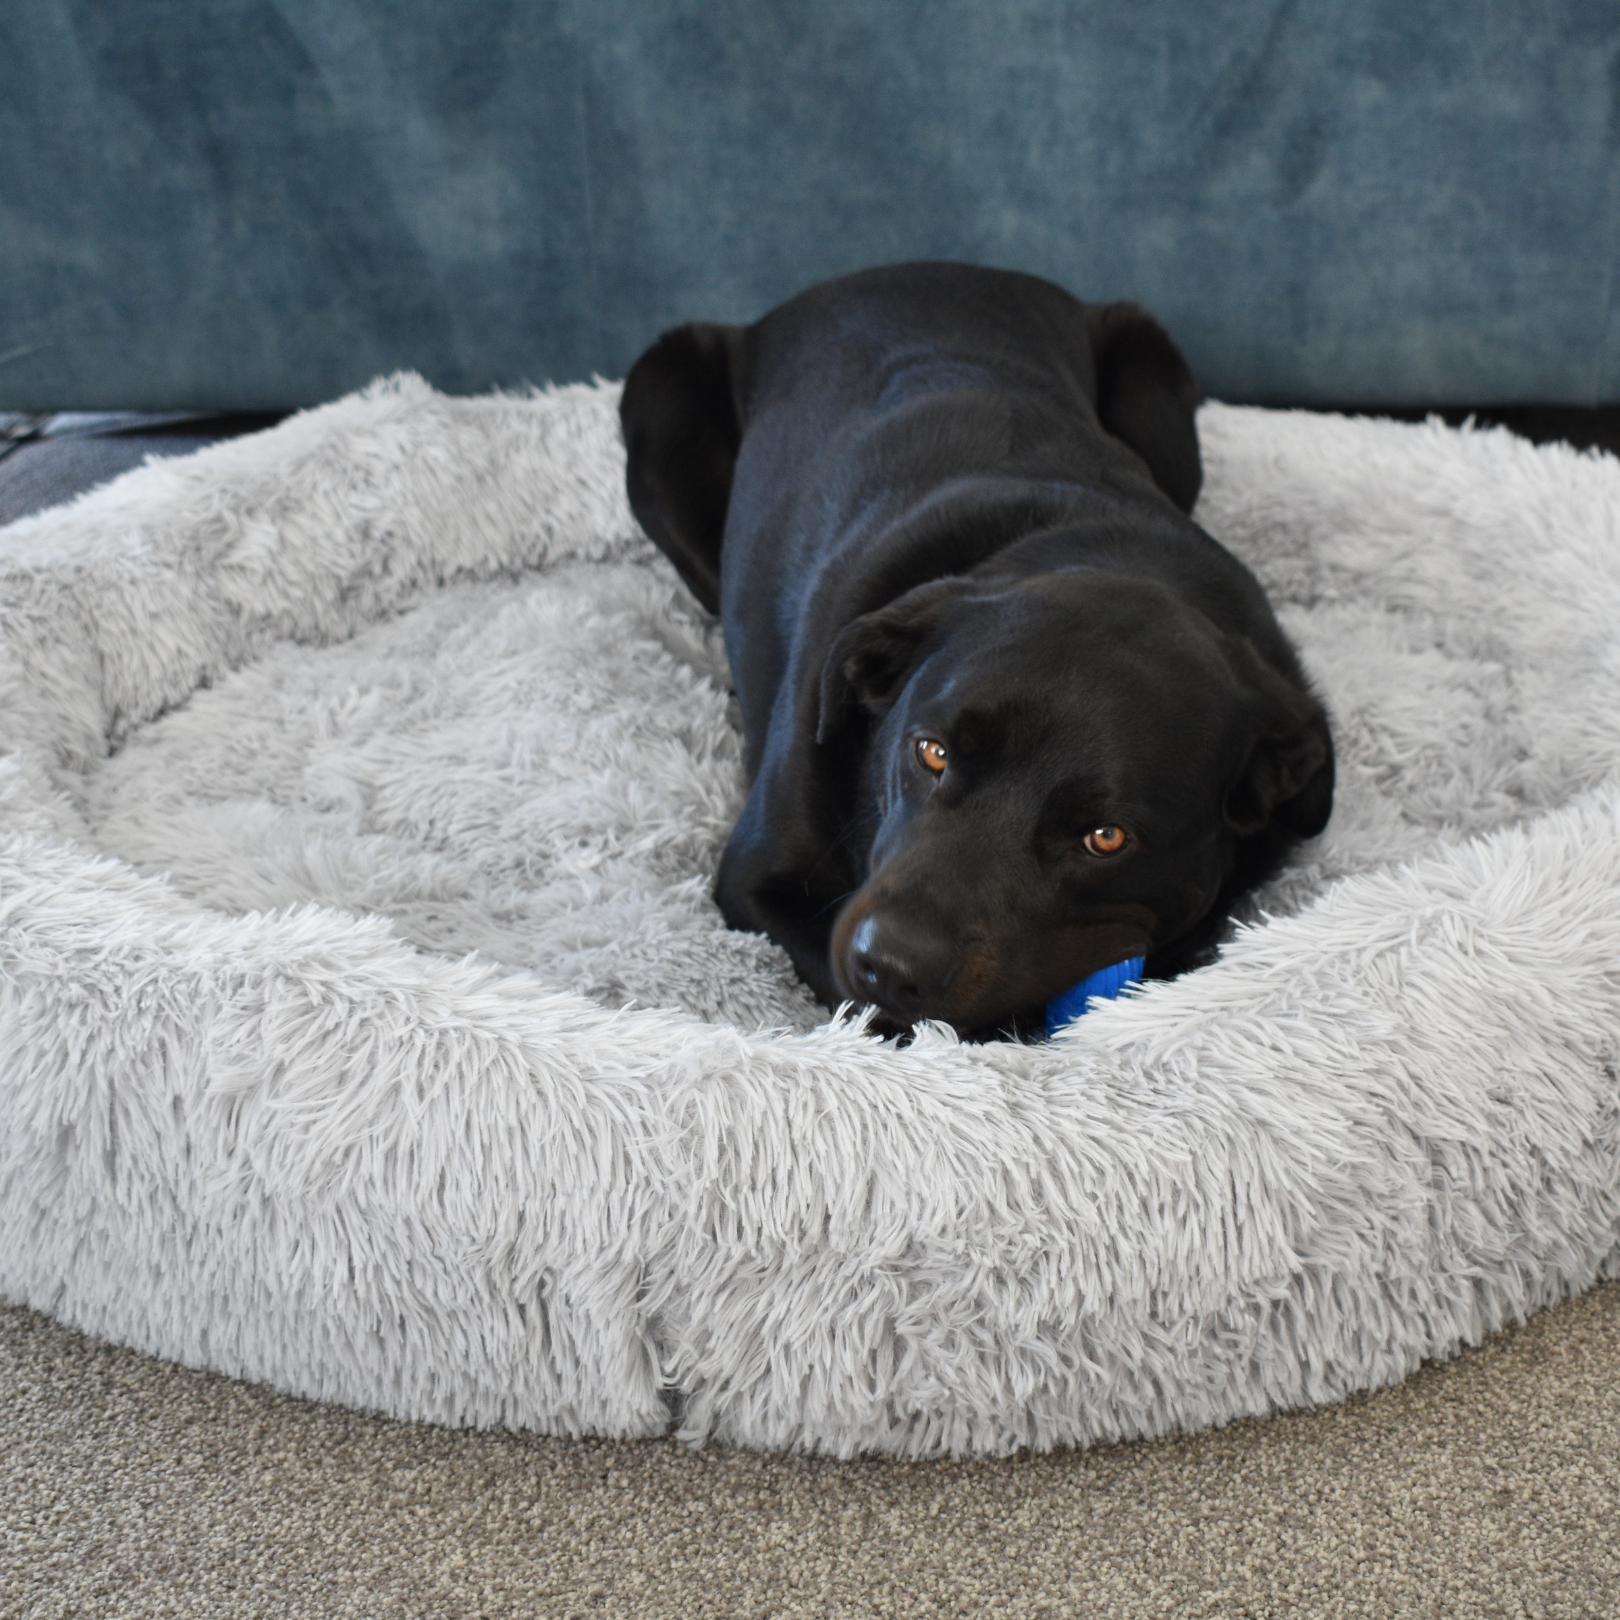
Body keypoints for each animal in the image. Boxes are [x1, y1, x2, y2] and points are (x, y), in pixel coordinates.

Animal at [618, 259, 1328, 1030]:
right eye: (930, 752)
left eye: (1106, 839)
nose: (891, 964)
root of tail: (905, 267)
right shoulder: (757, 882)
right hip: (656, 405)